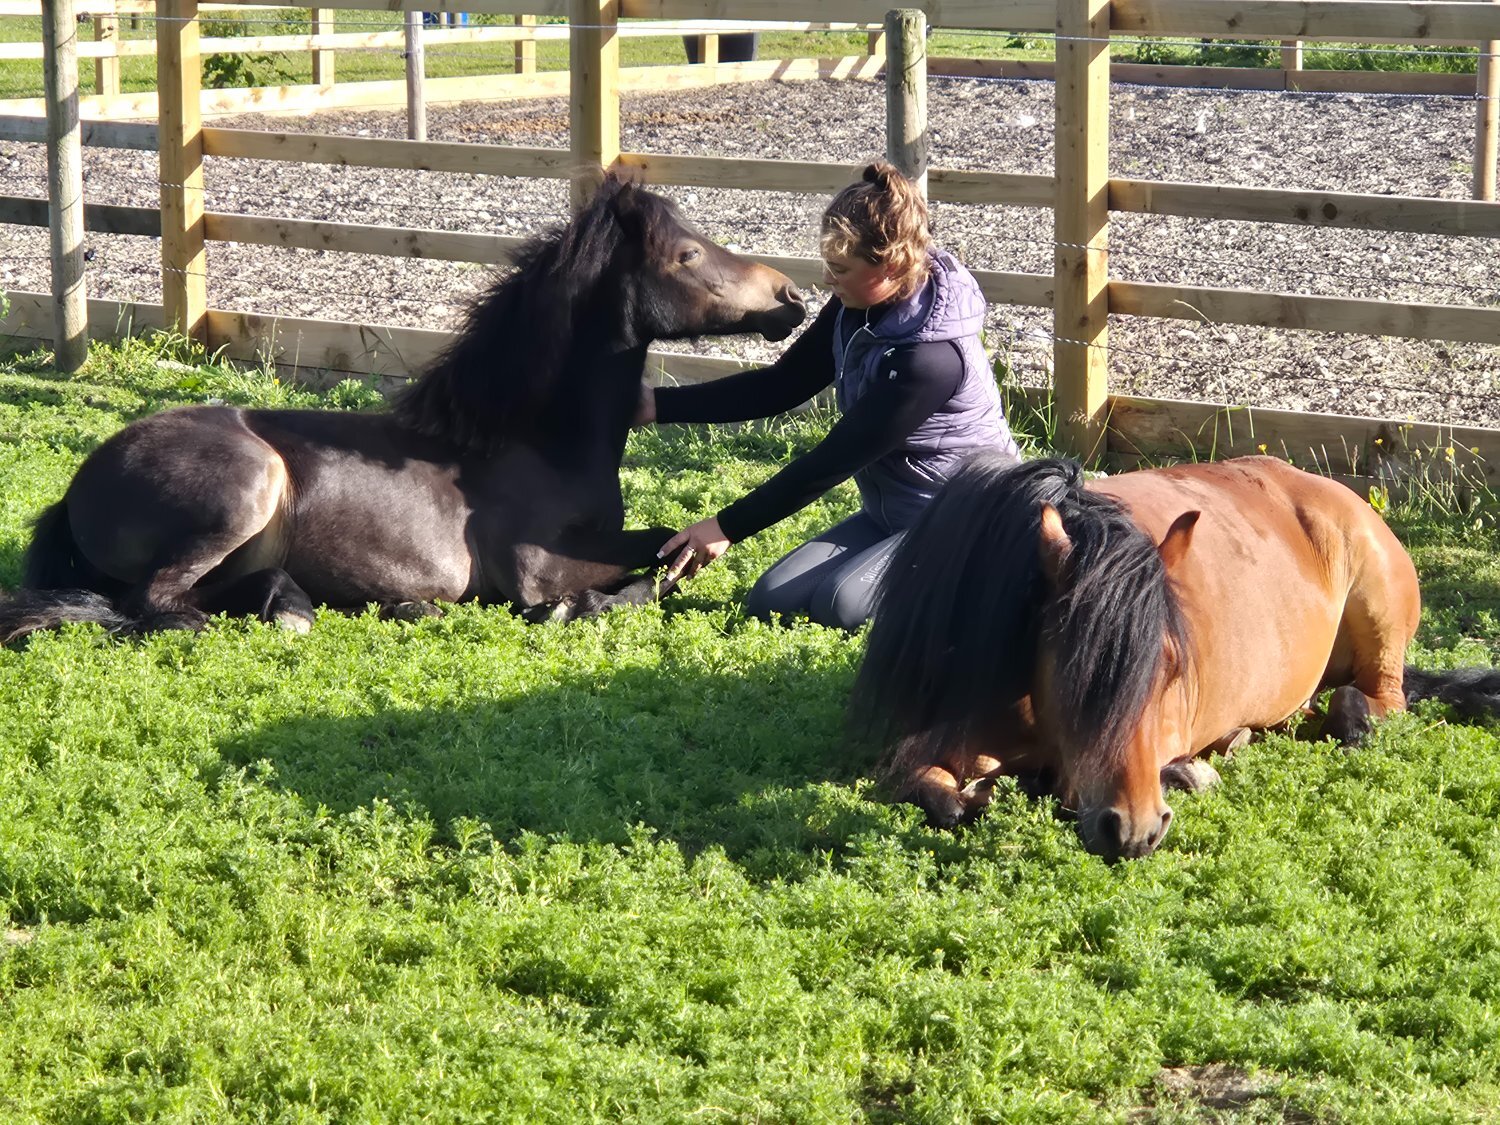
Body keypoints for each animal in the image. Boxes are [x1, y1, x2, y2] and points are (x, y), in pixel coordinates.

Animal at [0, 177, 806, 642]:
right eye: (687, 257)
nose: (791, 298)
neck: (537, 443)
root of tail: (75, 489)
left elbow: (666, 556)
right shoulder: (535, 565)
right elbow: (649, 558)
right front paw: (577, 610)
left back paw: (321, 605)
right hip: (246, 489)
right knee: (154, 605)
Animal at [853, 453, 1500, 860]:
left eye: (1171, 671)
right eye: (1075, 669)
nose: (1133, 831)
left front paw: (1186, 772)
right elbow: (941, 796)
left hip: (1380, 631)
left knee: (1373, 699)